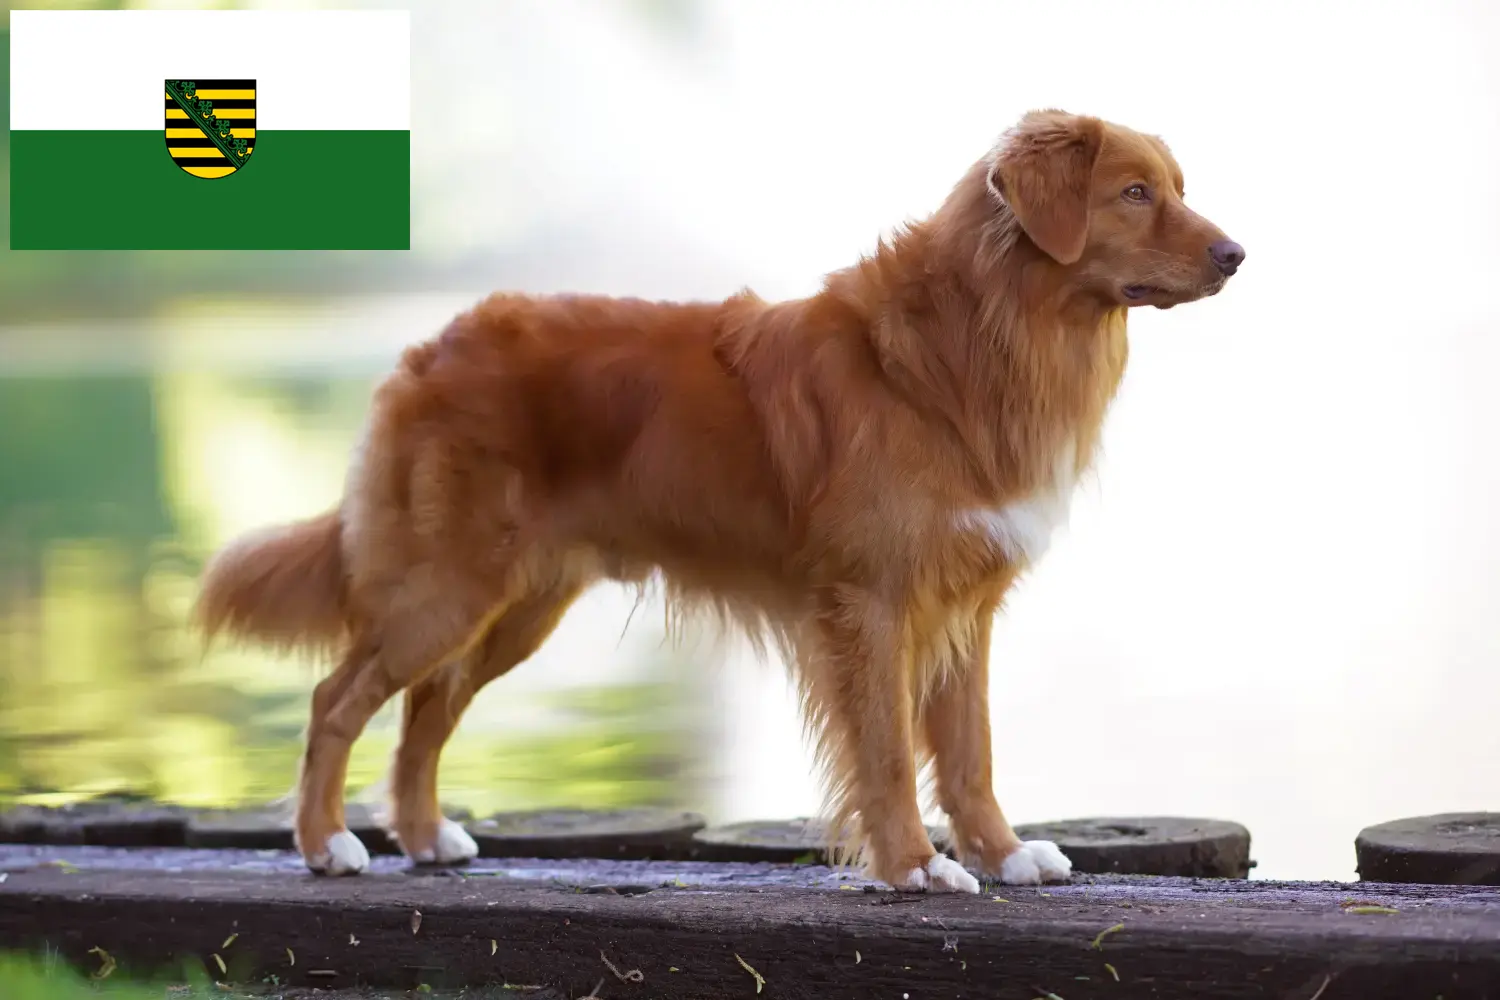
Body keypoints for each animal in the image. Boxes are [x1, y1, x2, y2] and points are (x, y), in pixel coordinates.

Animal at [196, 107, 1242, 893]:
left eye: (1178, 186)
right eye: (1136, 193)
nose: (1237, 253)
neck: (976, 341)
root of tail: (431, 347)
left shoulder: (964, 607)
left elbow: (969, 750)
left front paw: (1004, 854)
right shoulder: (872, 604)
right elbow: (889, 754)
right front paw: (913, 868)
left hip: (513, 607)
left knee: (424, 711)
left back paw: (422, 837)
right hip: (446, 589)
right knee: (338, 698)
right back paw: (326, 845)